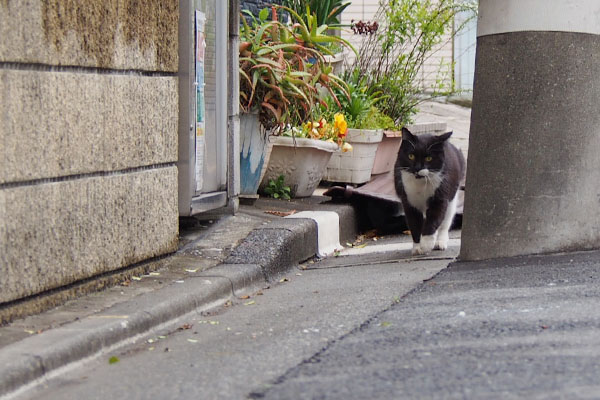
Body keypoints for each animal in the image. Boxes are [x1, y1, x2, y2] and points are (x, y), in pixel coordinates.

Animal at [396, 128, 466, 256]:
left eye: (429, 158)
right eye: (411, 156)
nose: (417, 168)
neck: (420, 185)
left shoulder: (440, 198)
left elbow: (434, 219)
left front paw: (426, 243)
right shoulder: (408, 201)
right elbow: (414, 224)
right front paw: (417, 247)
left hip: (452, 195)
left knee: (446, 221)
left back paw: (440, 242)